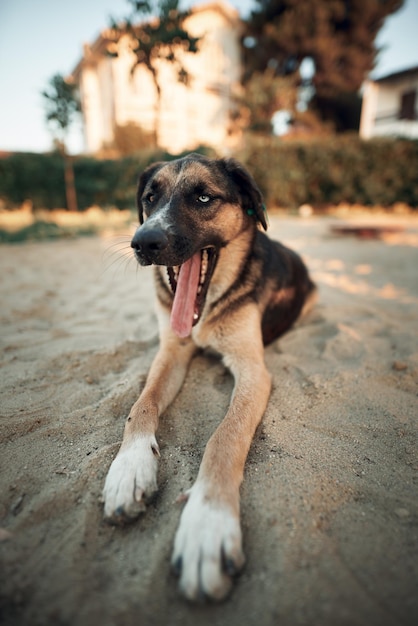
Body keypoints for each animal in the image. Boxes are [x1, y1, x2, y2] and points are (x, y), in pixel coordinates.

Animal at [102, 152, 316, 600]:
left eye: (203, 197)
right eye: (150, 197)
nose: (143, 242)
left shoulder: (253, 371)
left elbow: (224, 437)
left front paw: (206, 524)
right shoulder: (171, 351)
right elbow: (140, 405)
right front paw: (129, 468)